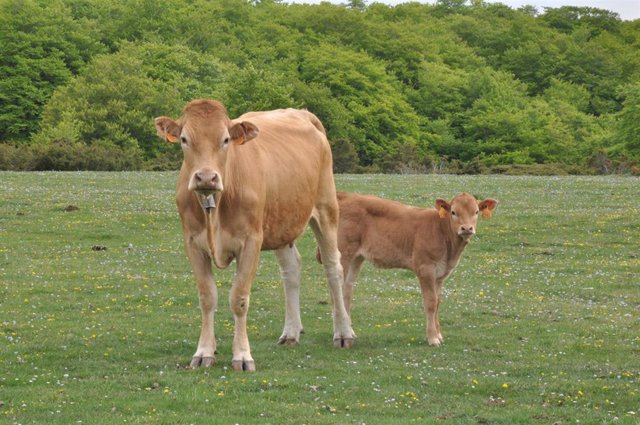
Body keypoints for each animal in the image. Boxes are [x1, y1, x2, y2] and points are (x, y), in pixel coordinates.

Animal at [155, 99, 356, 372]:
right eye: (184, 139)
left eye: (226, 139)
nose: (206, 177)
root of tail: (301, 113)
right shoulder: (192, 243)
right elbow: (207, 297)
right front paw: (204, 351)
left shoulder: (251, 242)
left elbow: (239, 298)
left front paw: (242, 355)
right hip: (281, 222)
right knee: (291, 270)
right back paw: (291, 333)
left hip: (326, 208)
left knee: (333, 267)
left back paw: (343, 333)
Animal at [328, 190, 498, 346]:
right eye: (453, 212)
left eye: (476, 211)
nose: (467, 228)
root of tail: (345, 195)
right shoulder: (425, 269)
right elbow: (430, 302)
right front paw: (433, 338)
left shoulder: (440, 274)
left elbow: (438, 302)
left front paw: (439, 334)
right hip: (343, 254)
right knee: (335, 290)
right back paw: (339, 334)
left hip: (356, 258)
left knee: (346, 291)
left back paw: (349, 332)